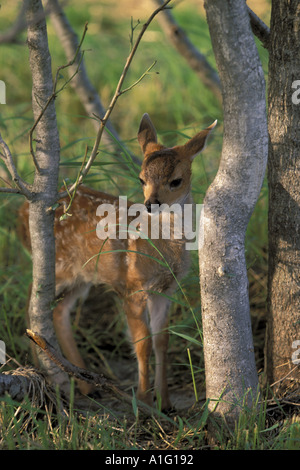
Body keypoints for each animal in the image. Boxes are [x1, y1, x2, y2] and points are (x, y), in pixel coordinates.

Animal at [19, 114, 216, 412]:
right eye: (141, 178)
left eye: (176, 180)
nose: (151, 203)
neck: (158, 248)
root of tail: (21, 213)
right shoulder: (132, 286)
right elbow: (142, 343)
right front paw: (145, 403)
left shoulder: (165, 289)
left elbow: (161, 340)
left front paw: (166, 402)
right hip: (58, 267)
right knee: (33, 303)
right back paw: (48, 372)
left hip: (83, 275)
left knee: (59, 310)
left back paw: (86, 384)